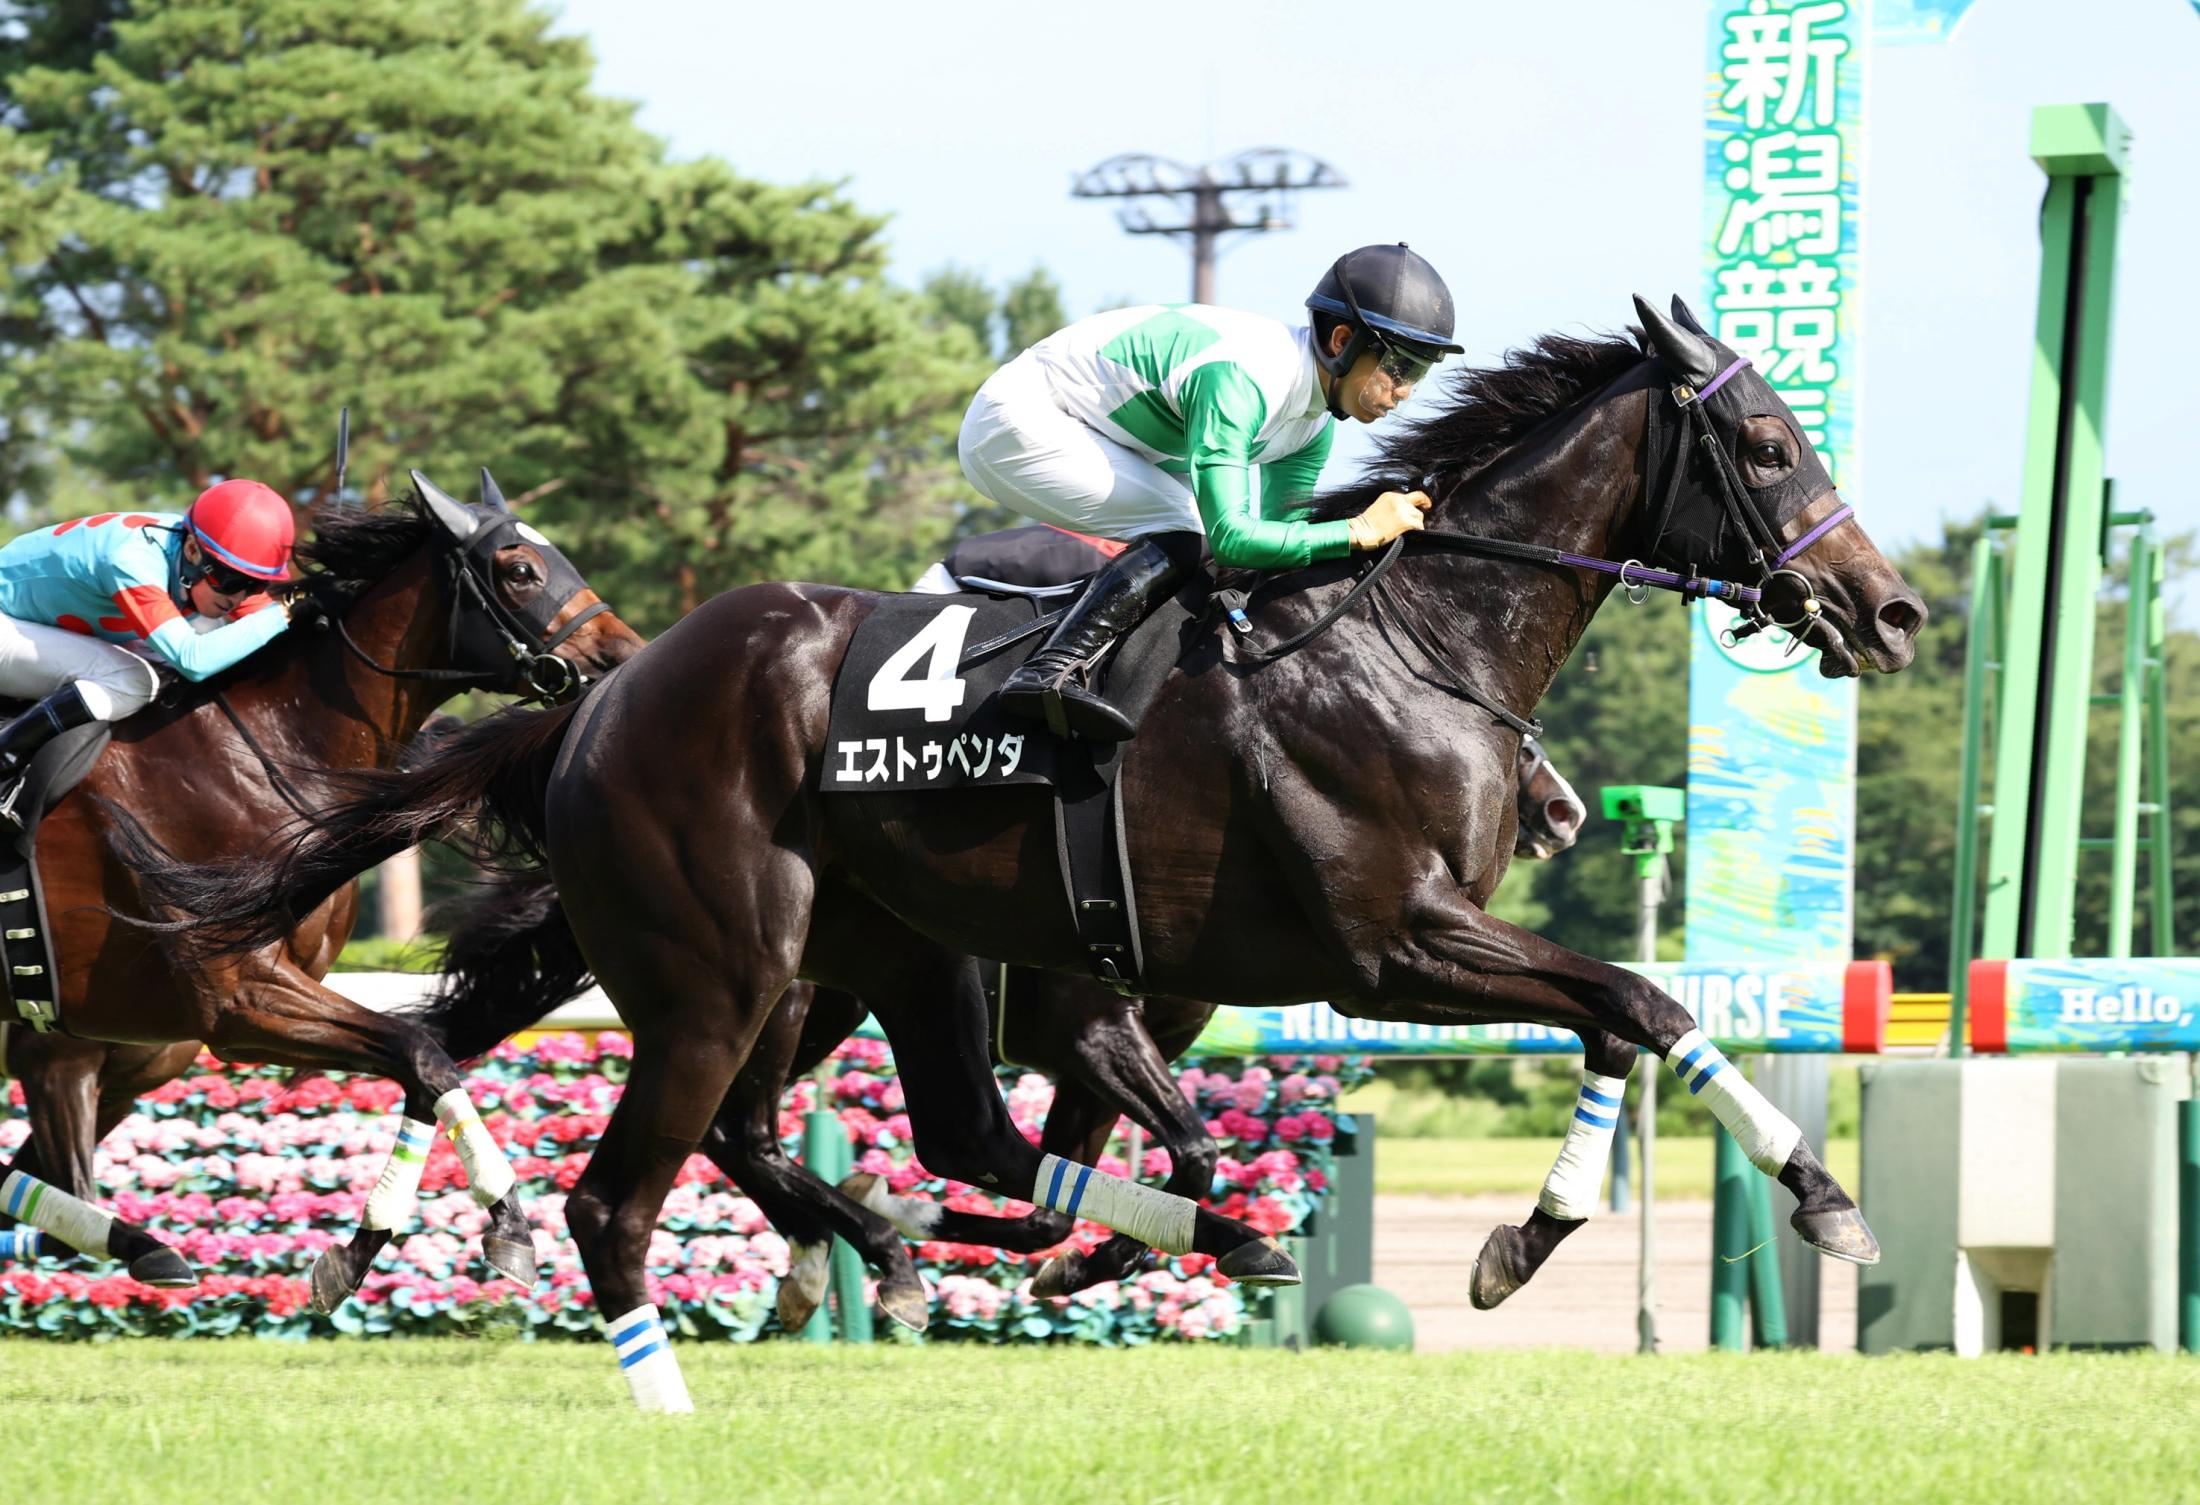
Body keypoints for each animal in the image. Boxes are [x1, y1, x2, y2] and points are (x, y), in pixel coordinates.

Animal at [0, 474, 641, 1293]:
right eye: (521, 569)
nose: (627, 656)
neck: (268, 753)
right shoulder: (236, 999)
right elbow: (422, 1050)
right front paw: (508, 1224)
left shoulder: (194, 1029)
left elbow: (422, 1062)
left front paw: (361, 1246)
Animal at [143, 297, 1926, 1409]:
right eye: (1769, 445)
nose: (1892, 609)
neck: (1413, 640)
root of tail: (598, 699)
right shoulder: (1380, 943)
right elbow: (1632, 1000)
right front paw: (1779, 1206)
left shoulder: (1164, 982)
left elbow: (1629, 1015)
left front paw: (1568, 1227)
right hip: (732, 966)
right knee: (664, 1166)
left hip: (876, 957)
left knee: (889, 1136)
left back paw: (919, 1255)